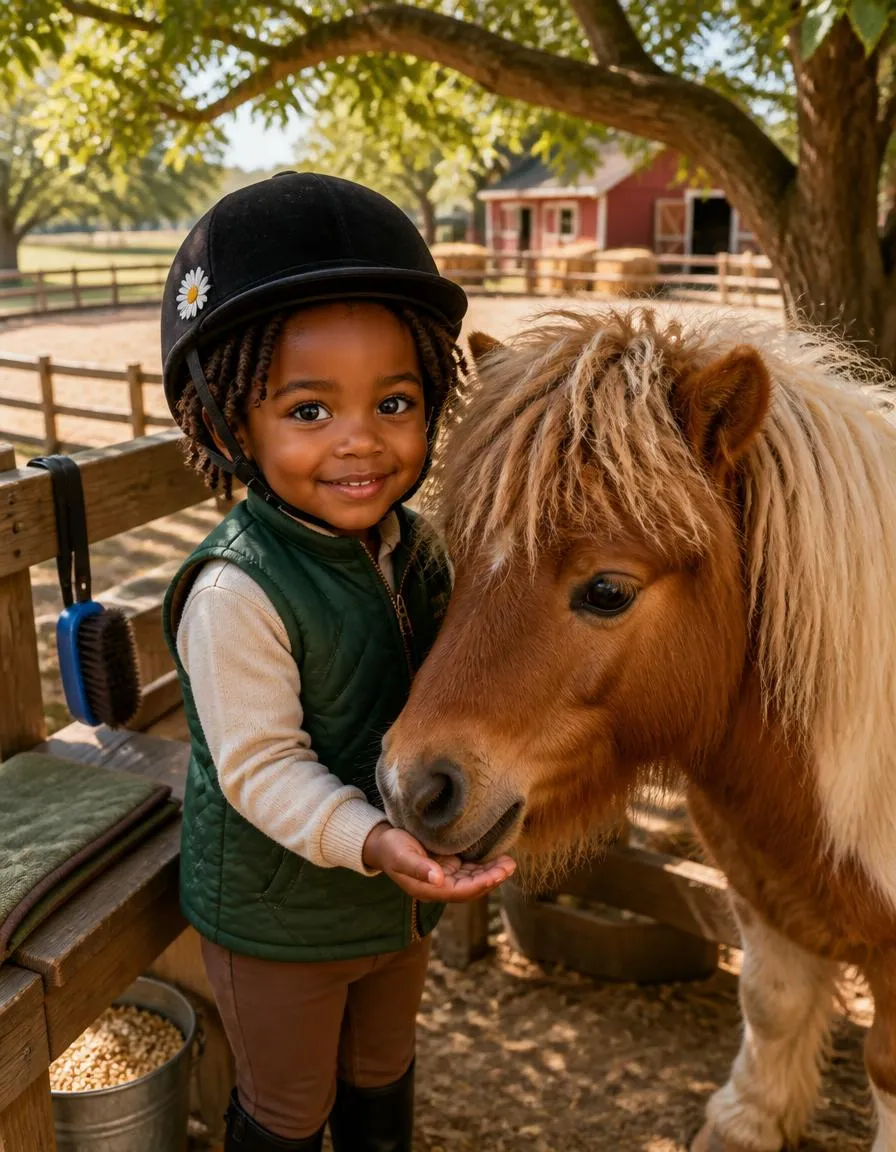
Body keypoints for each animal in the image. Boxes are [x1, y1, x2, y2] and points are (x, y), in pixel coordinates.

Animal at [376, 308, 896, 1151]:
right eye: (458, 559)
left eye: (609, 591)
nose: (410, 787)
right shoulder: (766, 884)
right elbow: (771, 1001)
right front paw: (745, 1121)